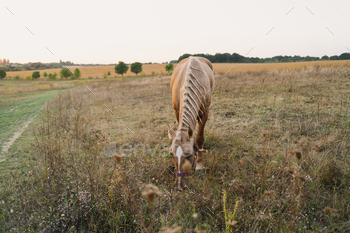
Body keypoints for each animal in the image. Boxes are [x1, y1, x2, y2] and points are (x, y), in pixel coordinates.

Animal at [166, 57, 213, 191]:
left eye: (189, 155)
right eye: (171, 154)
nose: (180, 186)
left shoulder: (204, 113)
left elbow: (199, 138)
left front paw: (200, 166)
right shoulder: (177, 111)